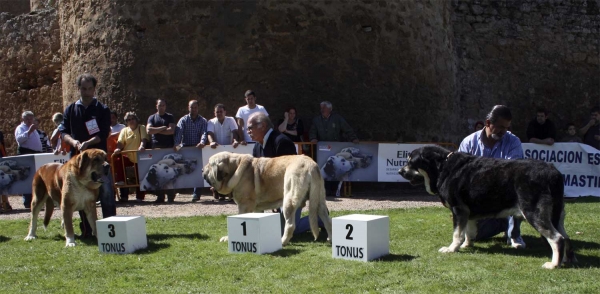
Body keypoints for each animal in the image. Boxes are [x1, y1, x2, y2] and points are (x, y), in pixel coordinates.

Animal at [203, 152, 332, 246]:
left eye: (209, 165)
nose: (202, 170)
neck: (234, 169)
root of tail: (311, 164)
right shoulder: (256, 209)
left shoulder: (244, 205)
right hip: (319, 200)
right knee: (327, 219)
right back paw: (330, 238)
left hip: (288, 200)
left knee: (290, 225)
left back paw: (282, 241)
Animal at [398, 146, 576, 270]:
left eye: (411, 161)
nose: (400, 171)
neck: (442, 167)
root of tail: (553, 172)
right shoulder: (467, 212)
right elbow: (468, 232)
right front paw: (466, 245)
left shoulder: (458, 209)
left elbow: (457, 233)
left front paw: (452, 248)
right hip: (557, 214)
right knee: (566, 238)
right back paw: (566, 260)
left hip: (534, 212)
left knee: (557, 238)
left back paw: (553, 265)